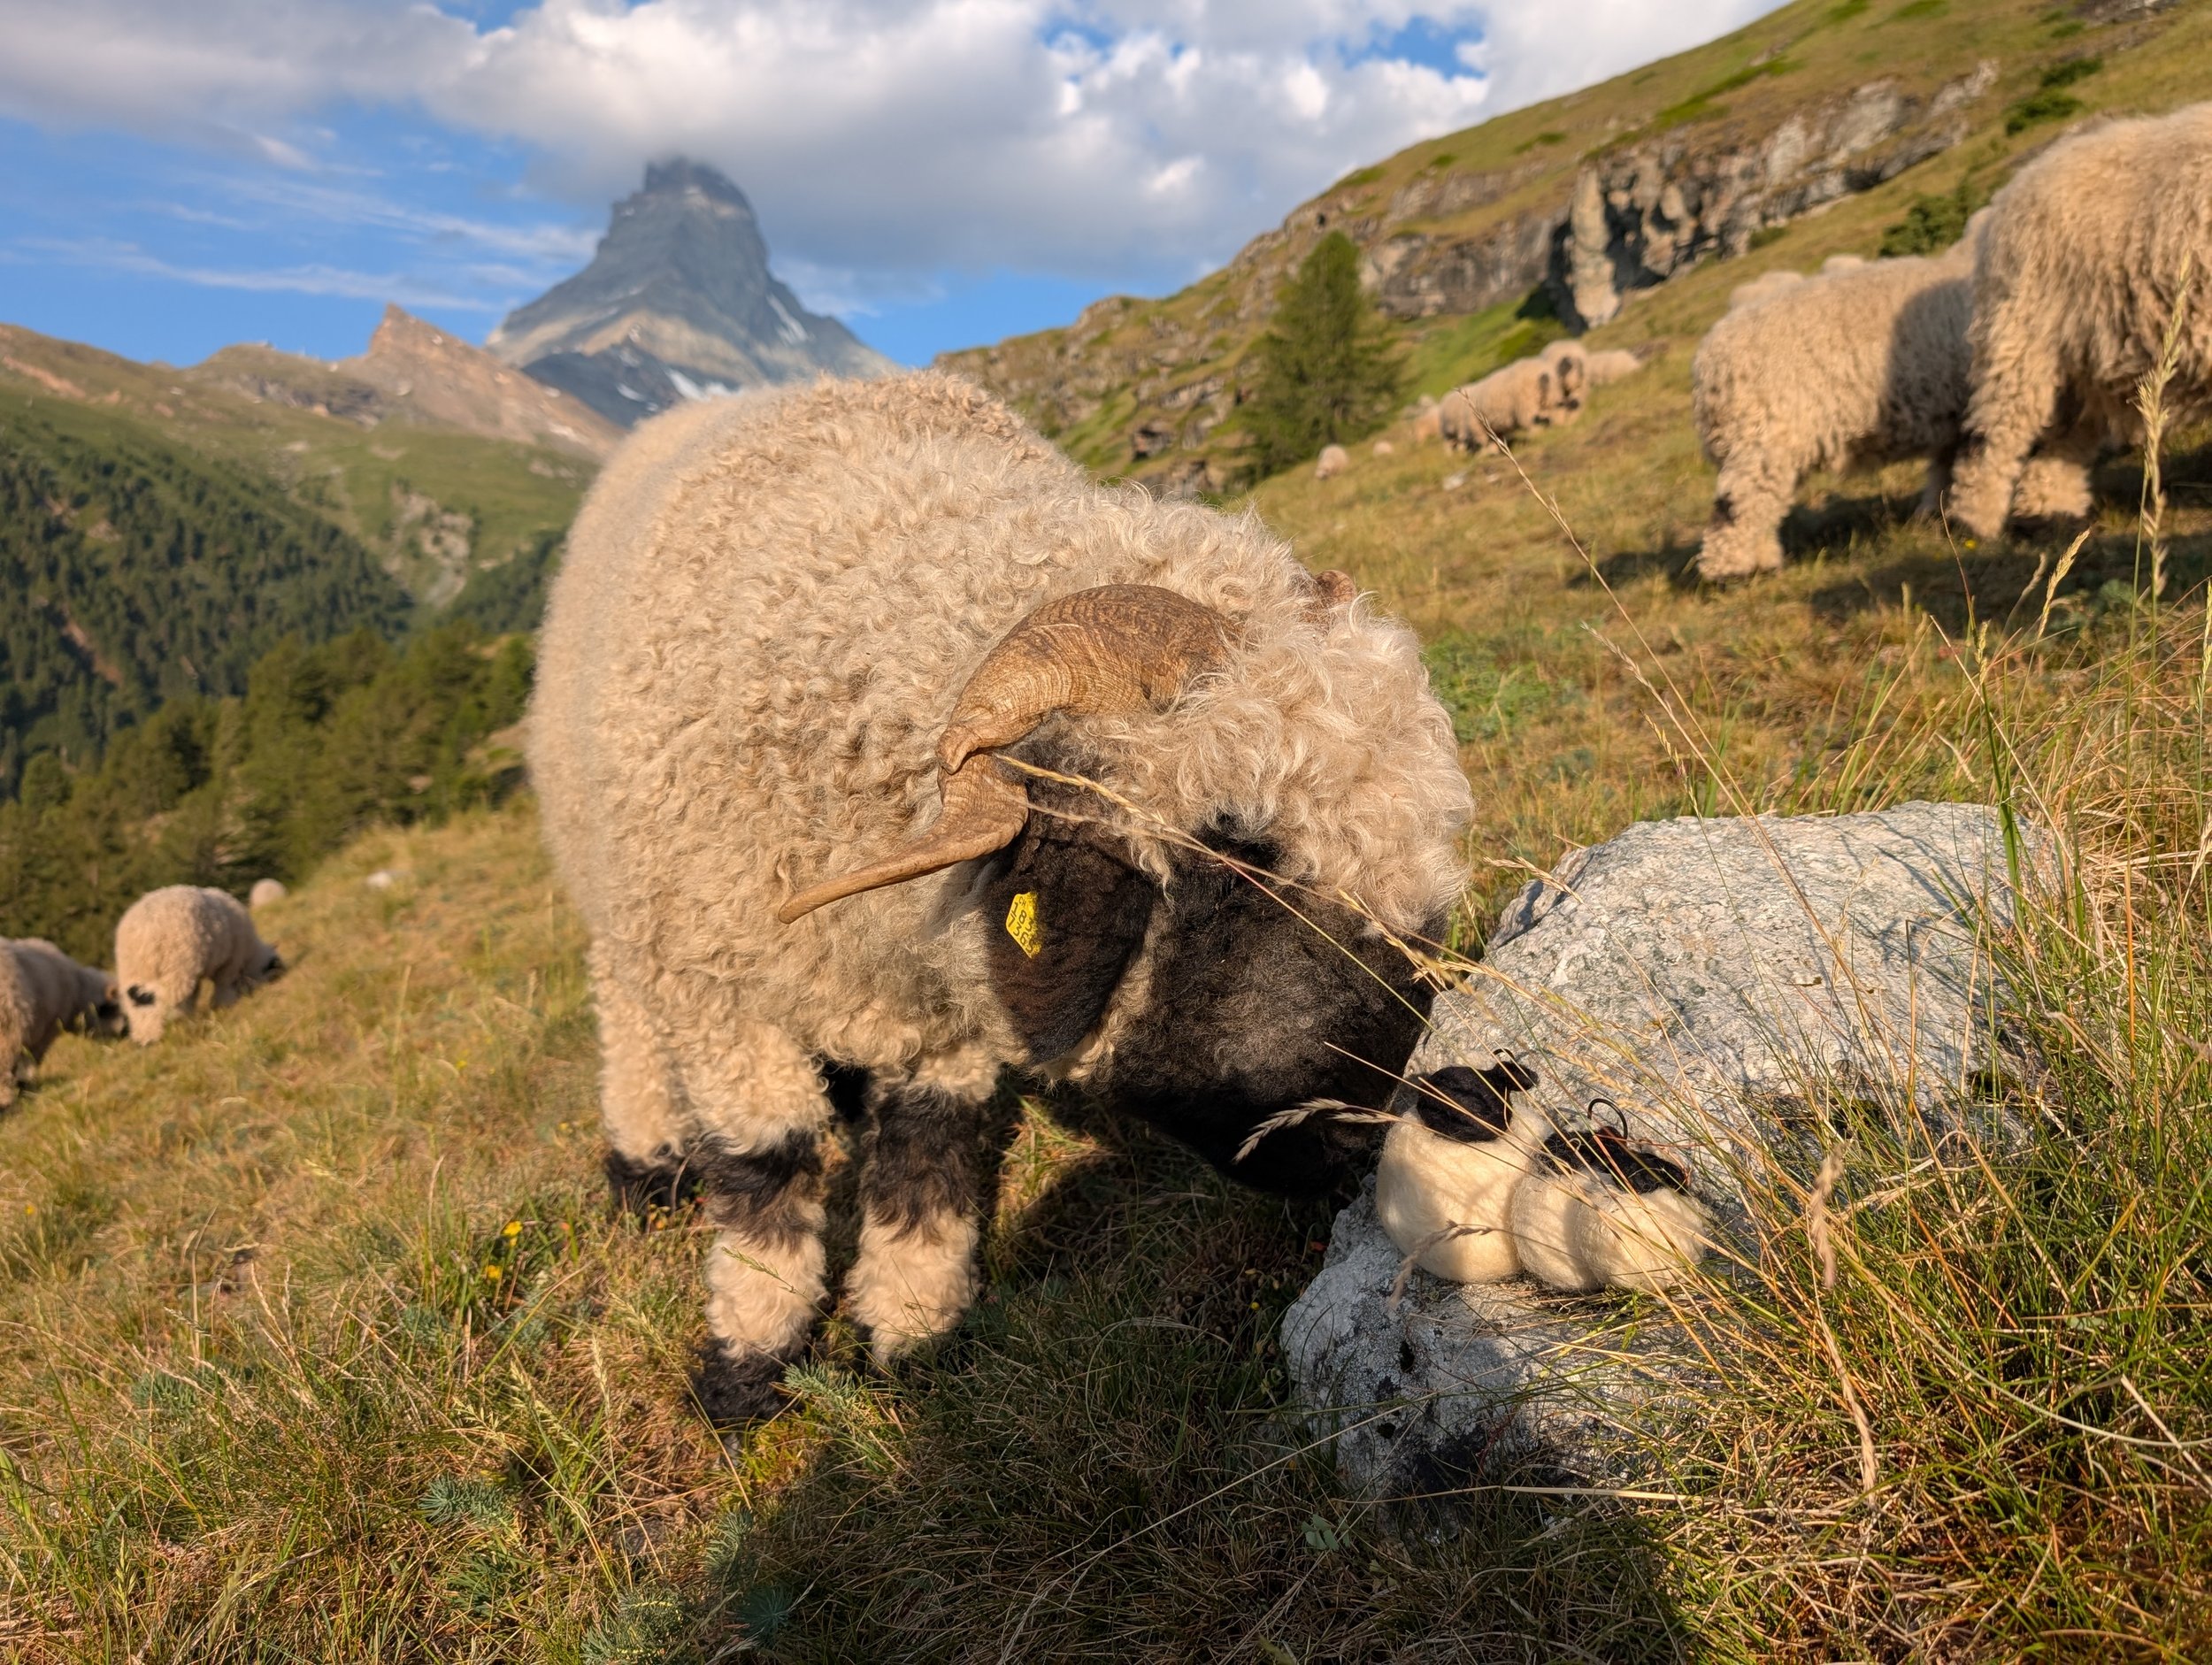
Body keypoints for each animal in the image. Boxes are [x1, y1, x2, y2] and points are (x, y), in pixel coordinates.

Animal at [2, 939, 122, 1107]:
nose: (127, 1036)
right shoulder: (47, 1030)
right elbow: (32, 1061)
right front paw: (25, 1084)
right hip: (7, 1027)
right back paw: (5, 1099)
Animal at [114, 886, 282, 1045]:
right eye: (272, 967)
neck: (251, 954)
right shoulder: (230, 960)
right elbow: (224, 984)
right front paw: (223, 1004)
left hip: (139, 977)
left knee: (141, 1004)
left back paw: (147, 1035)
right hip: (176, 969)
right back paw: (155, 1034)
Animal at [530, 372, 1471, 1424]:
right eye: (1236, 841)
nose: (1366, 1138)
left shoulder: (947, 1009)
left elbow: (926, 1159)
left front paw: (909, 1339)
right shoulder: (718, 988)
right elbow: (765, 1165)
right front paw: (747, 1364)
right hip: (622, 900)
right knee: (622, 1005)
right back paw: (644, 1162)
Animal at [1691, 235, 1980, 579]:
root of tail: (1707, 365)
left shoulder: (1952, 419)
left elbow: (1944, 471)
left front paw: (1936, 515)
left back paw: (1762, 561)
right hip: (1760, 442)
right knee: (1735, 510)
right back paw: (1735, 572)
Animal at [1948, 104, 2212, 540]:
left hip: (2081, 366)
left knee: (2060, 445)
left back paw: (2049, 515)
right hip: (2023, 338)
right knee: (1993, 439)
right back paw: (1974, 523)